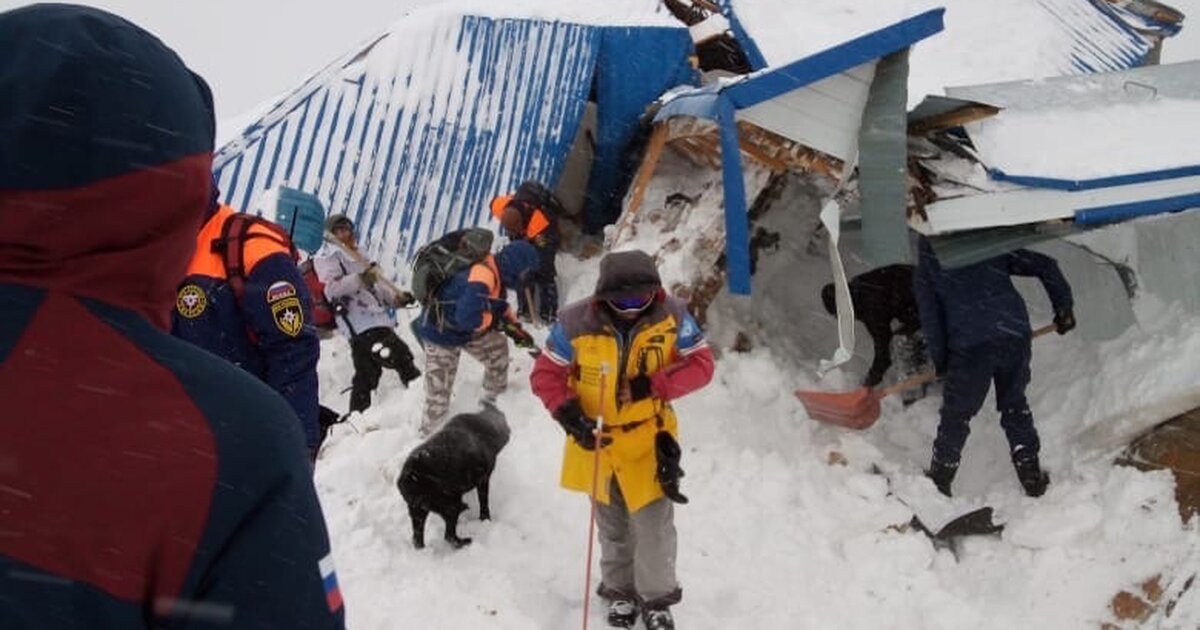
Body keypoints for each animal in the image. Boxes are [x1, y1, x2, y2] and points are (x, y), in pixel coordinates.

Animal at [393, 403, 506, 544]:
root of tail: (410, 475)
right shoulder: (483, 479)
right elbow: (484, 502)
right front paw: (485, 519)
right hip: (450, 505)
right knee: (449, 536)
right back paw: (464, 541)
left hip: (418, 511)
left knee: (417, 539)